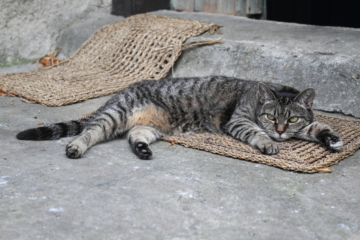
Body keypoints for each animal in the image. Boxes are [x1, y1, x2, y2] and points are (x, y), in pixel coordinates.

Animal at [16, 76, 344, 160]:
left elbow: (319, 125)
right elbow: (256, 133)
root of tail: (123, 91)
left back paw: (142, 150)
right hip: (115, 116)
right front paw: (268, 142)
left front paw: (332, 138)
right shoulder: (238, 121)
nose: (280, 129)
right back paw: (76, 147)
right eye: (270, 116)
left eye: (292, 120)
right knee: (90, 131)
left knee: (134, 137)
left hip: (151, 128)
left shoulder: (306, 125)